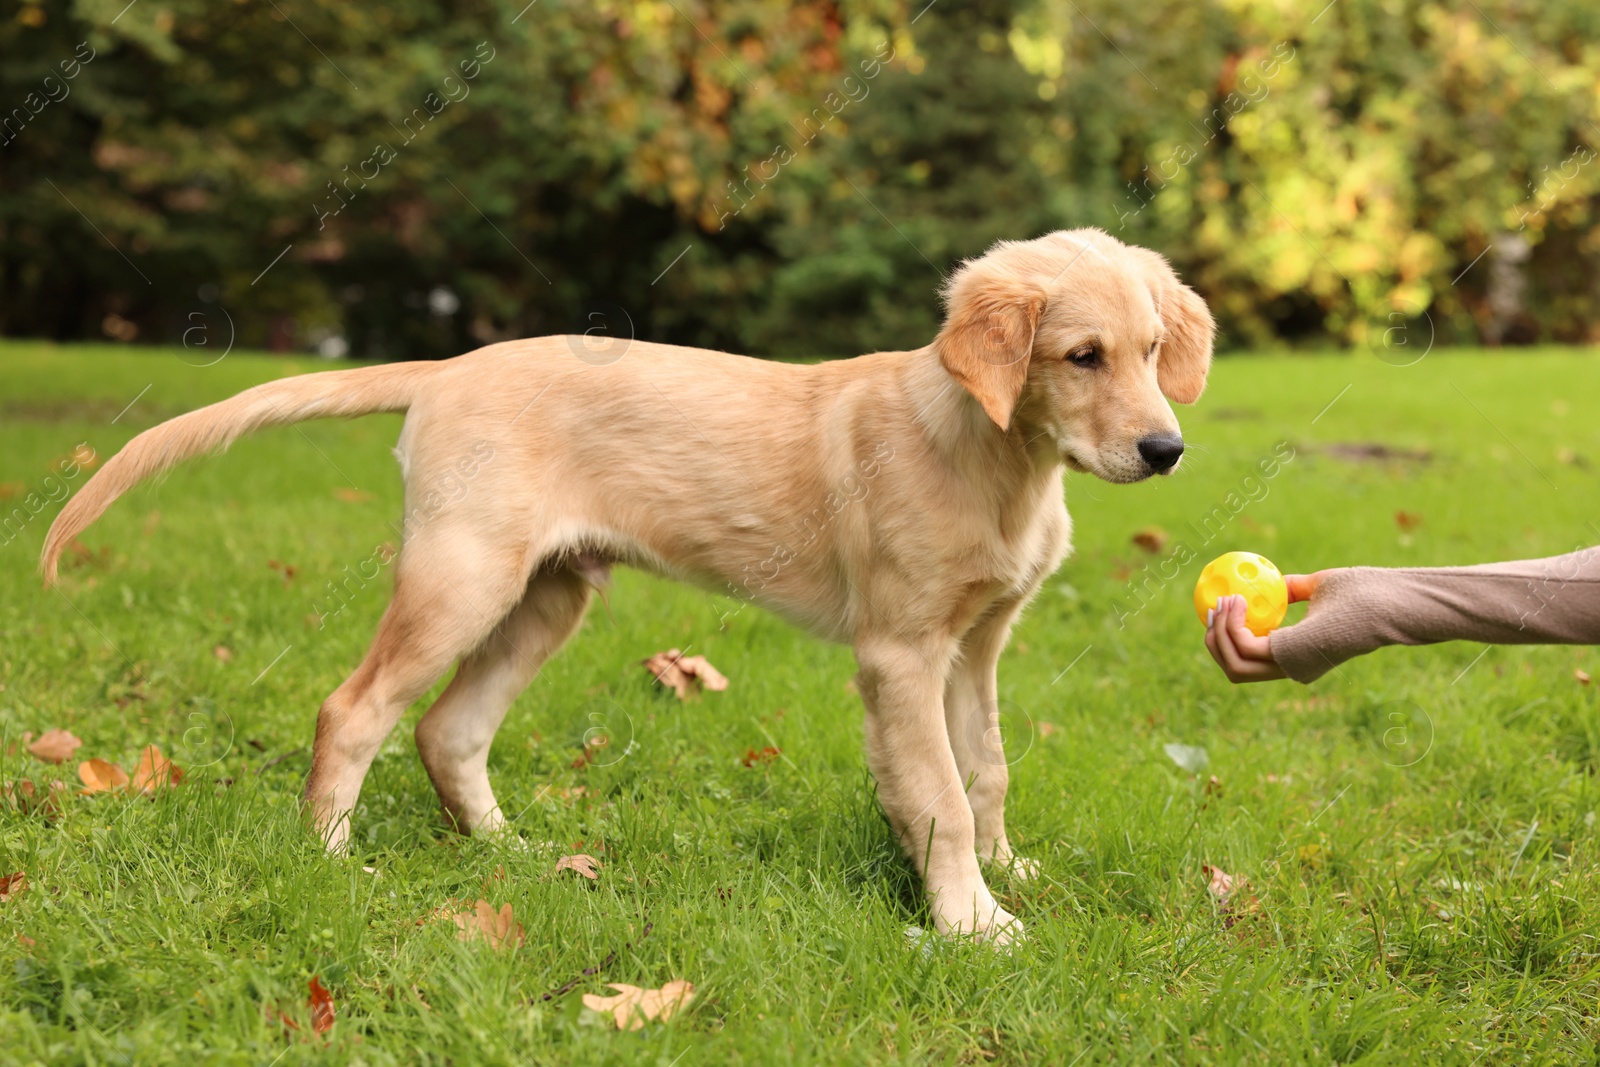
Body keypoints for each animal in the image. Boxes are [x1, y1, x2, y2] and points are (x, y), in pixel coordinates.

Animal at [40, 227, 1209, 940]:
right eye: (1081, 355)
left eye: (1154, 348)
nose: (1167, 452)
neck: (997, 458)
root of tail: (450, 366)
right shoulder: (902, 651)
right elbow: (941, 797)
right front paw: (973, 922)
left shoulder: (978, 643)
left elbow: (988, 771)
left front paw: (1009, 876)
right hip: (463, 575)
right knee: (355, 708)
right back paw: (331, 861)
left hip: (547, 593)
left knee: (449, 726)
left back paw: (511, 852)